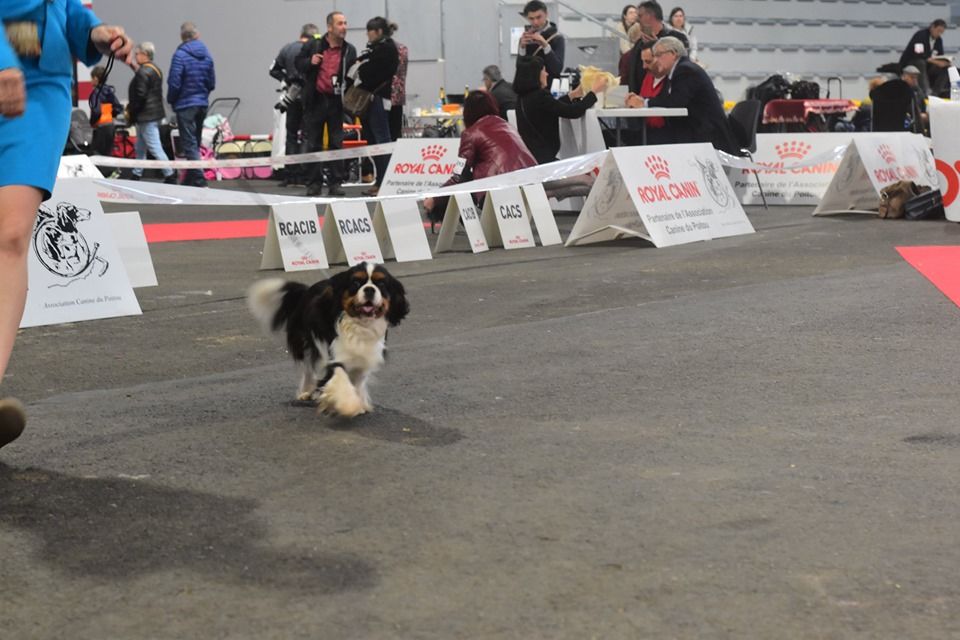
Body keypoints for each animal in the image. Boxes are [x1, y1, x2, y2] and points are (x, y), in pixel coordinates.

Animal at [246, 262, 406, 418]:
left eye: (382, 284)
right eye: (355, 283)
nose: (369, 289)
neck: (360, 324)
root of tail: (306, 290)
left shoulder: (364, 360)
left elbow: (358, 382)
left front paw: (361, 402)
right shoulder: (335, 357)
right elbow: (340, 378)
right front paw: (348, 405)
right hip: (304, 344)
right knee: (308, 369)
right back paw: (306, 393)